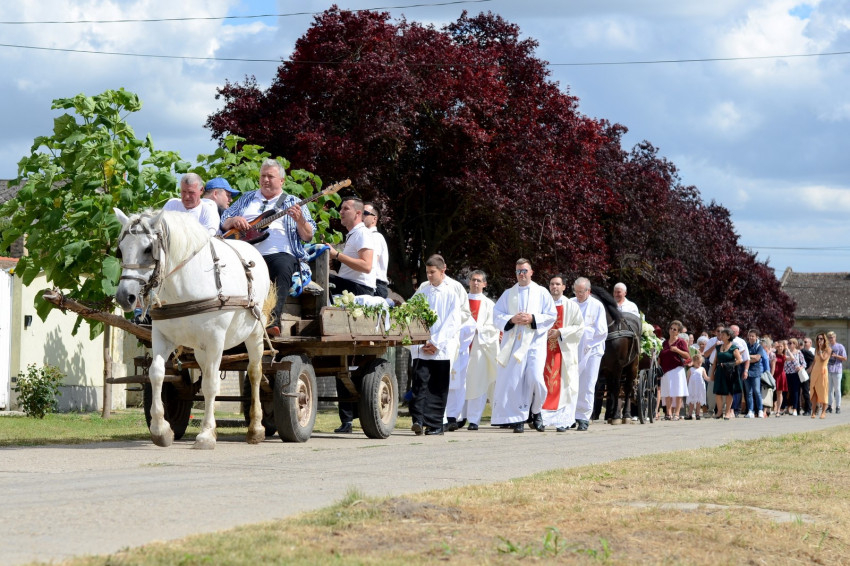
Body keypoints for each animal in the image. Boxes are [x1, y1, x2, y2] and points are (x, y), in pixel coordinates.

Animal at [114, 208, 271, 449]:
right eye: (120, 251)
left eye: (148, 249)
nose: (125, 297)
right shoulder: (162, 337)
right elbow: (156, 374)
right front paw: (161, 430)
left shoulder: (216, 340)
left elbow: (211, 384)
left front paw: (206, 434)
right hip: (199, 348)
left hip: (254, 334)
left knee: (254, 373)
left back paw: (255, 428)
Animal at [590, 285, 642, 425]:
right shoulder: (599, 365)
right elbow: (596, 387)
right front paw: (590, 416)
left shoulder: (618, 365)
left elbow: (617, 388)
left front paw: (616, 417)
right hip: (609, 370)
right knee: (610, 389)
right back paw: (609, 414)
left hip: (632, 366)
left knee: (627, 388)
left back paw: (625, 415)